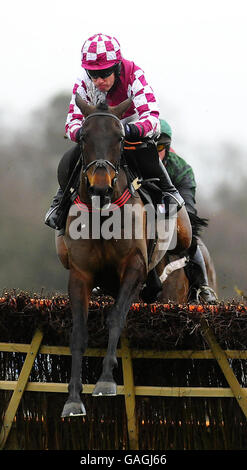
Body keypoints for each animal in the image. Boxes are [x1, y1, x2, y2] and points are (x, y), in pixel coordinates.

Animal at [55, 93, 191, 416]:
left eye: (119, 137)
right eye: (84, 137)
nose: (100, 186)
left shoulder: (134, 267)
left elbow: (116, 317)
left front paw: (105, 381)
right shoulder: (80, 274)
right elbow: (78, 332)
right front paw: (73, 399)